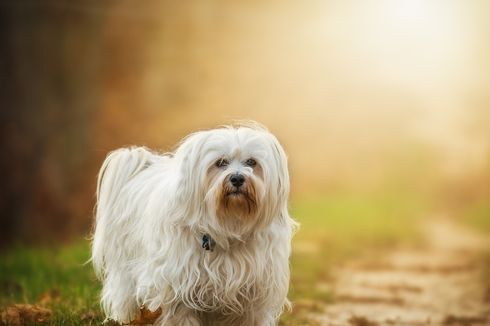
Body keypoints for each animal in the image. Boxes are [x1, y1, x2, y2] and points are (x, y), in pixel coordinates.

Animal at [92, 123, 298, 324]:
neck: (229, 224)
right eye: (220, 162)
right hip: (125, 269)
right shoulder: (179, 290)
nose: (238, 178)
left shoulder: (254, 294)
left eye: (251, 162)